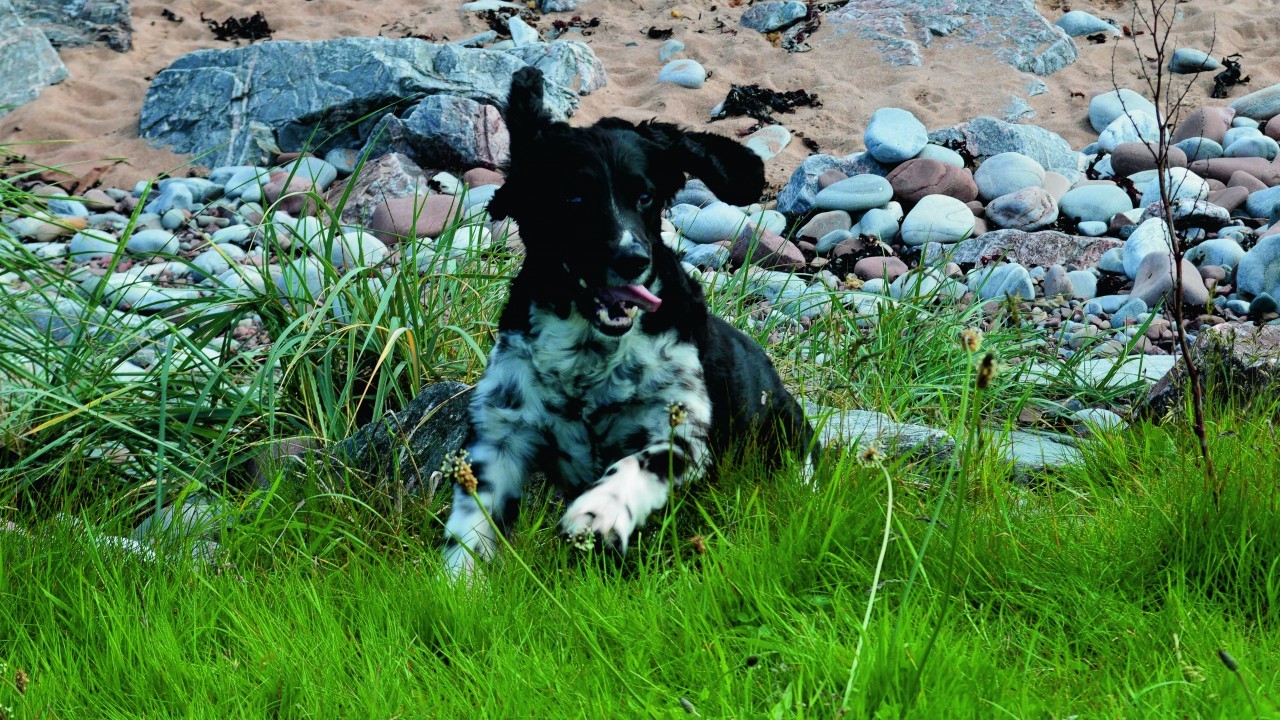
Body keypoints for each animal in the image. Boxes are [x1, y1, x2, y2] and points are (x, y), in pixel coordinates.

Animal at [445, 65, 814, 571]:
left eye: (644, 197)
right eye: (574, 199)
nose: (632, 259)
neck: (588, 351)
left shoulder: (682, 427)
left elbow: (638, 464)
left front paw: (598, 512)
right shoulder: (502, 431)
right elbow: (469, 527)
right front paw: (457, 582)